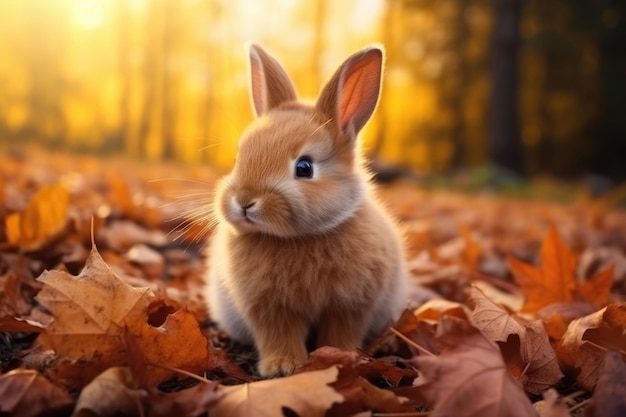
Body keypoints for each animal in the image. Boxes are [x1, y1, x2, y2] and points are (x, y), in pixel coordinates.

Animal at [205, 43, 408, 376]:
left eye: (304, 167)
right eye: (238, 159)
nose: (245, 201)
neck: (301, 237)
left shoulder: (351, 304)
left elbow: (341, 332)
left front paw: (342, 356)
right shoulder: (269, 307)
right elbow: (279, 334)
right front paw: (282, 366)